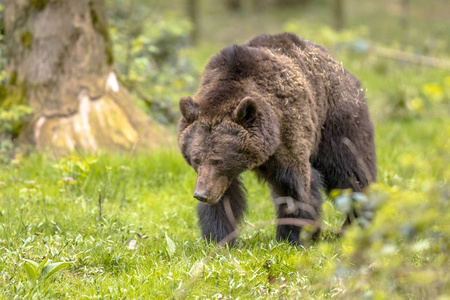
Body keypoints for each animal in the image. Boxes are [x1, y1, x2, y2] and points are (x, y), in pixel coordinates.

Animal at [177, 32, 376, 246]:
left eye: (218, 160)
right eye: (196, 159)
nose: (201, 195)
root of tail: (341, 67)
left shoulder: (289, 130)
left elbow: (294, 186)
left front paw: (294, 237)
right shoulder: (220, 176)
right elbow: (225, 199)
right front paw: (219, 238)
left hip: (337, 120)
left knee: (351, 172)